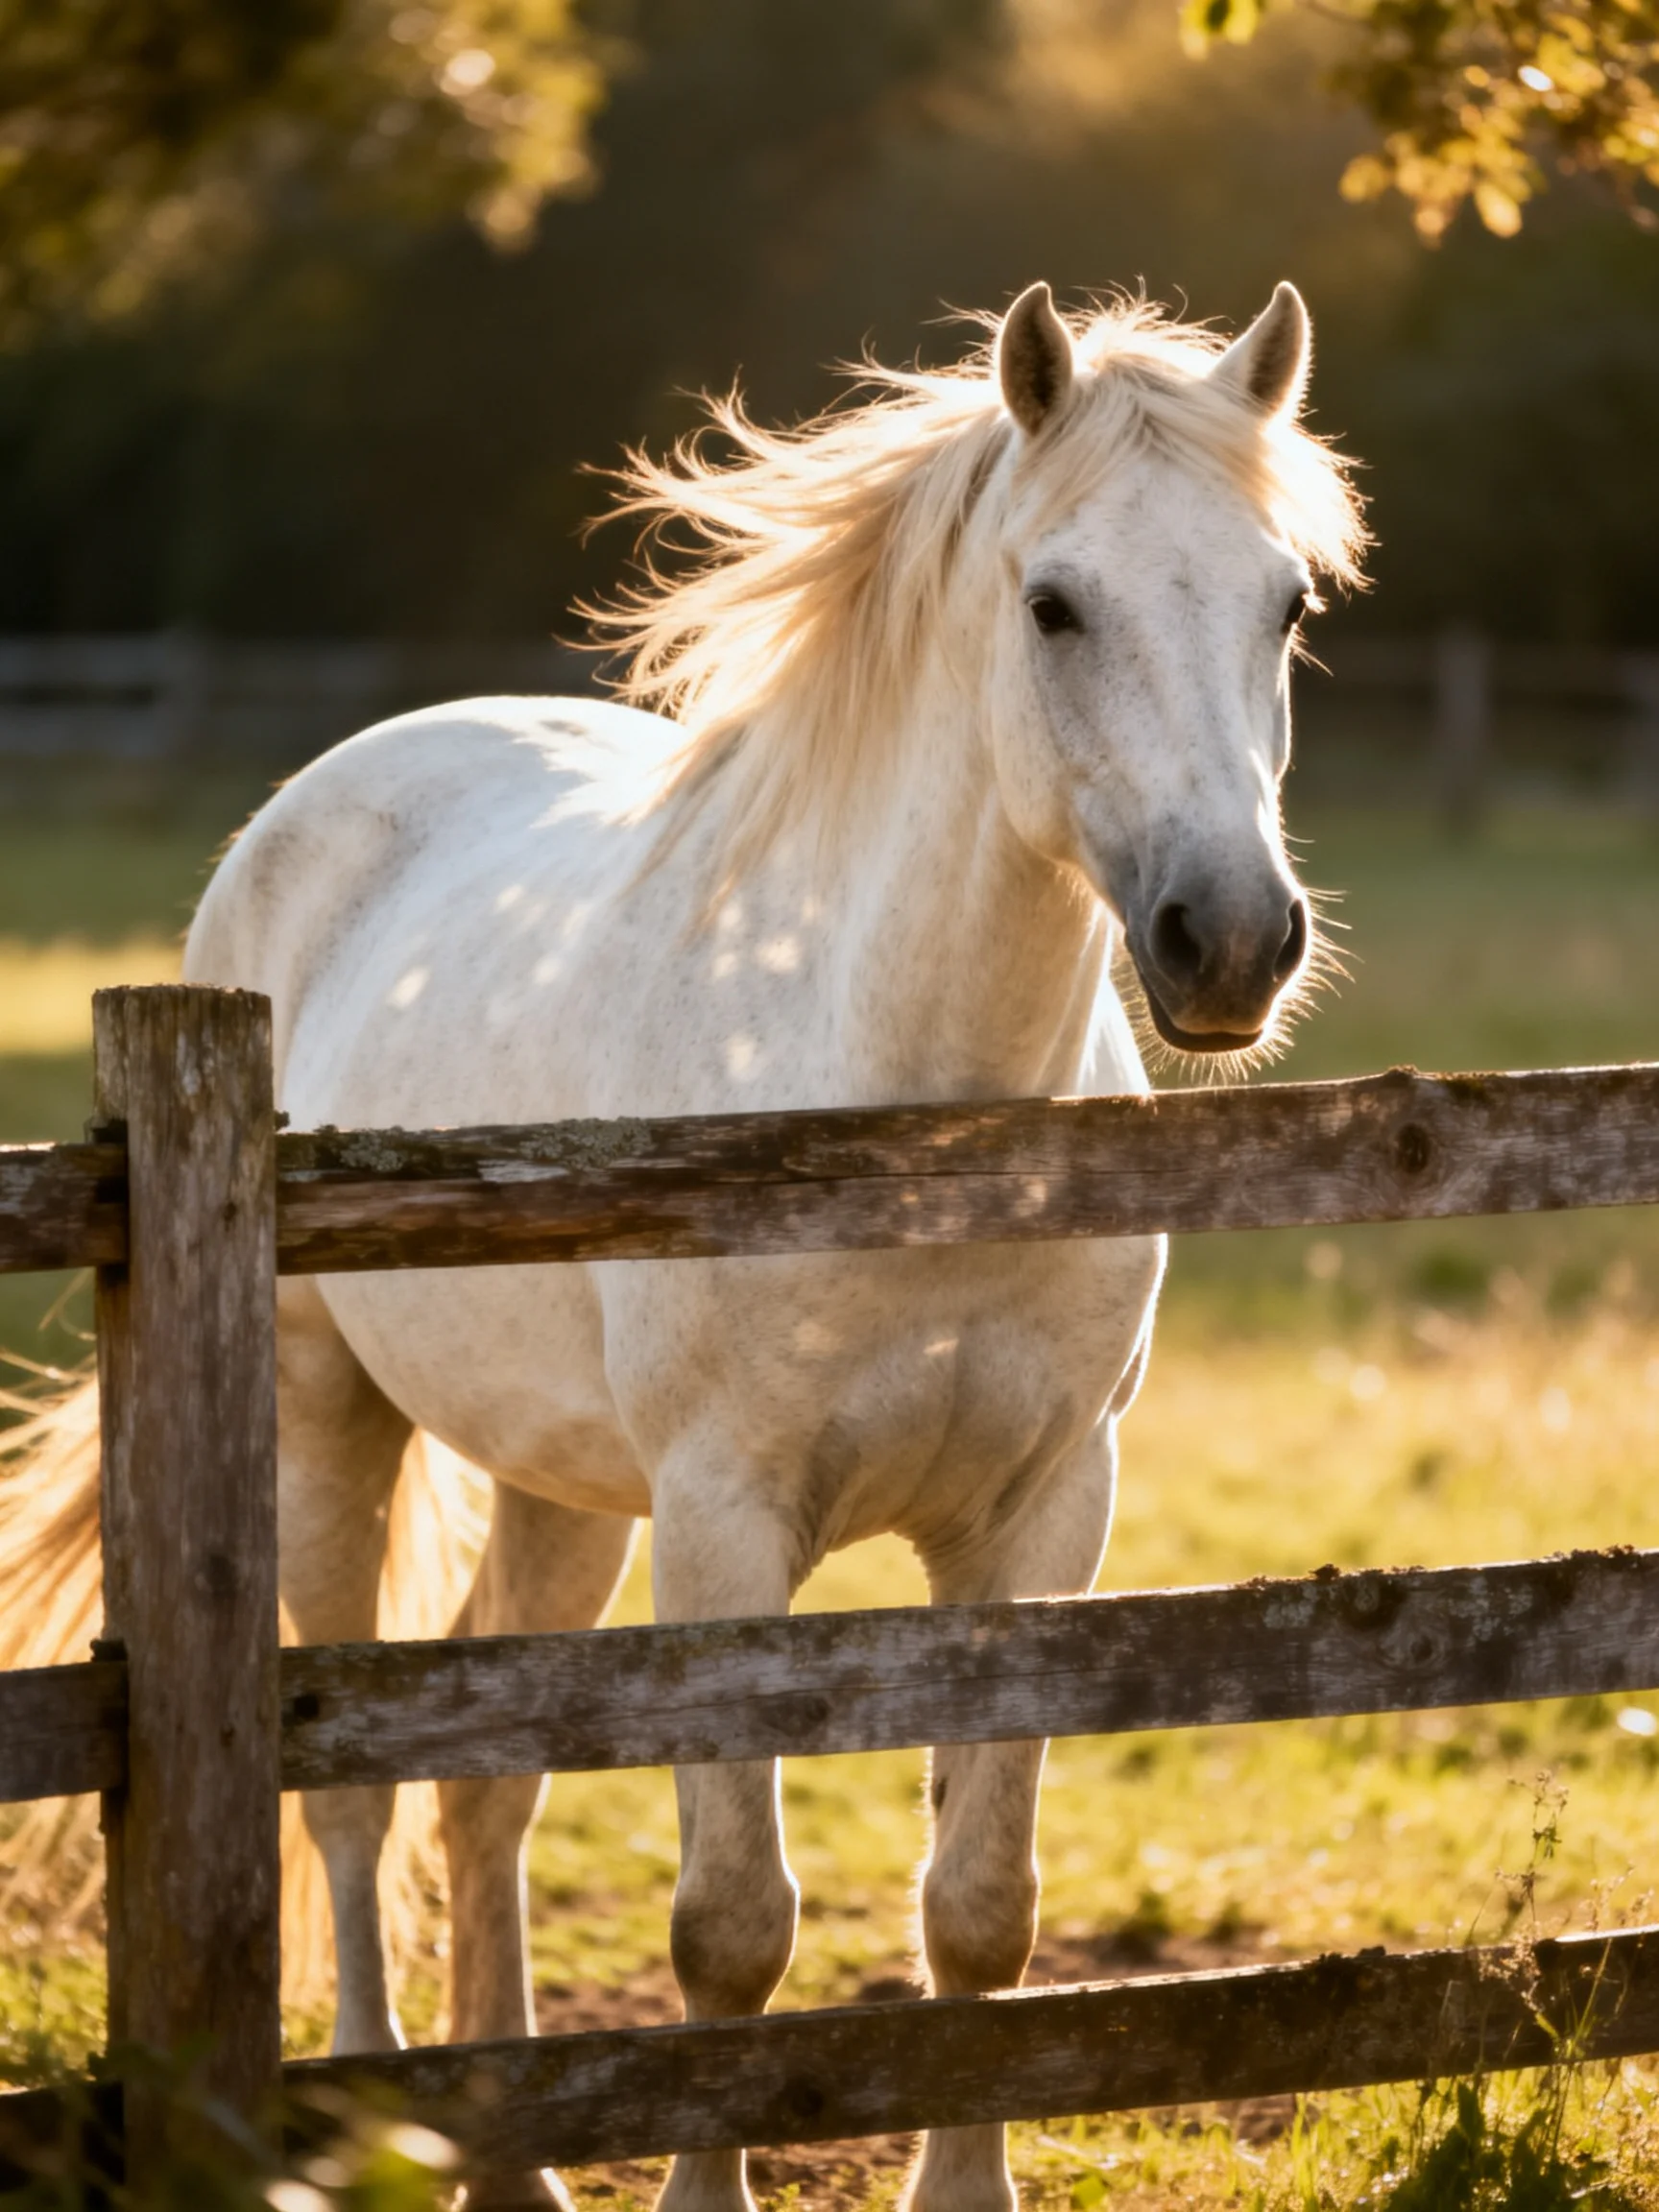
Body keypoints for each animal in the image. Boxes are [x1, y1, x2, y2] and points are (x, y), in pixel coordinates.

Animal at [2, 279, 1363, 2212]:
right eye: (1052, 602)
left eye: (1286, 602)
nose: (1229, 941)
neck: (906, 1128)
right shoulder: (727, 1524)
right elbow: (731, 1927)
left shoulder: (1039, 1519)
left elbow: (980, 1908)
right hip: (327, 1426)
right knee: (352, 1791)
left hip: (560, 1483)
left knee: (482, 1784)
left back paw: (506, 2163)